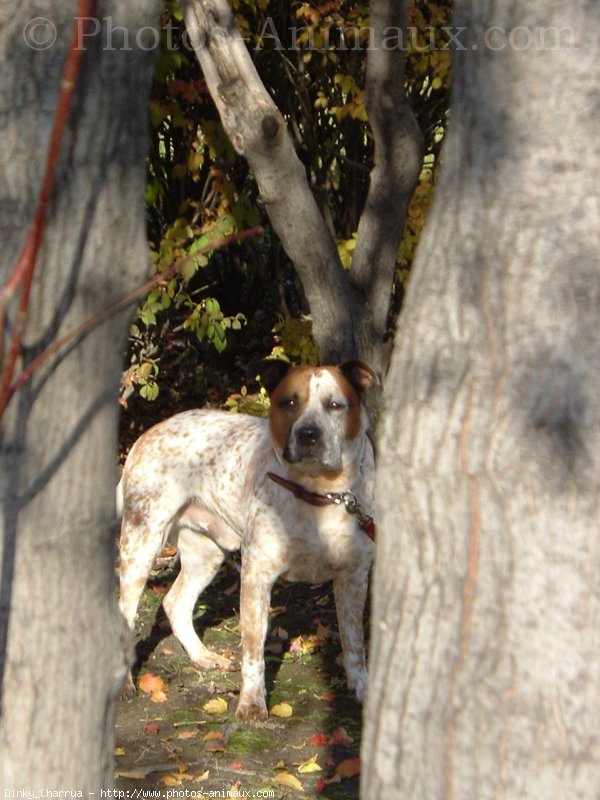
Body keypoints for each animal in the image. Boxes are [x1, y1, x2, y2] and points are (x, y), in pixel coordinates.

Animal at [118, 360, 376, 720]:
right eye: (289, 402)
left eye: (335, 404)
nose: (309, 434)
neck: (321, 494)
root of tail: (149, 432)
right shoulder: (257, 575)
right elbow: (253, 651)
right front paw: (252, 705)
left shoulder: (354, 577)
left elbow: (355, 646)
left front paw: (364, 691)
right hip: (141, 544)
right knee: (125, 615)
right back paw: (125, 683)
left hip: (205, 553)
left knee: (175, 603)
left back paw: (204, 657)